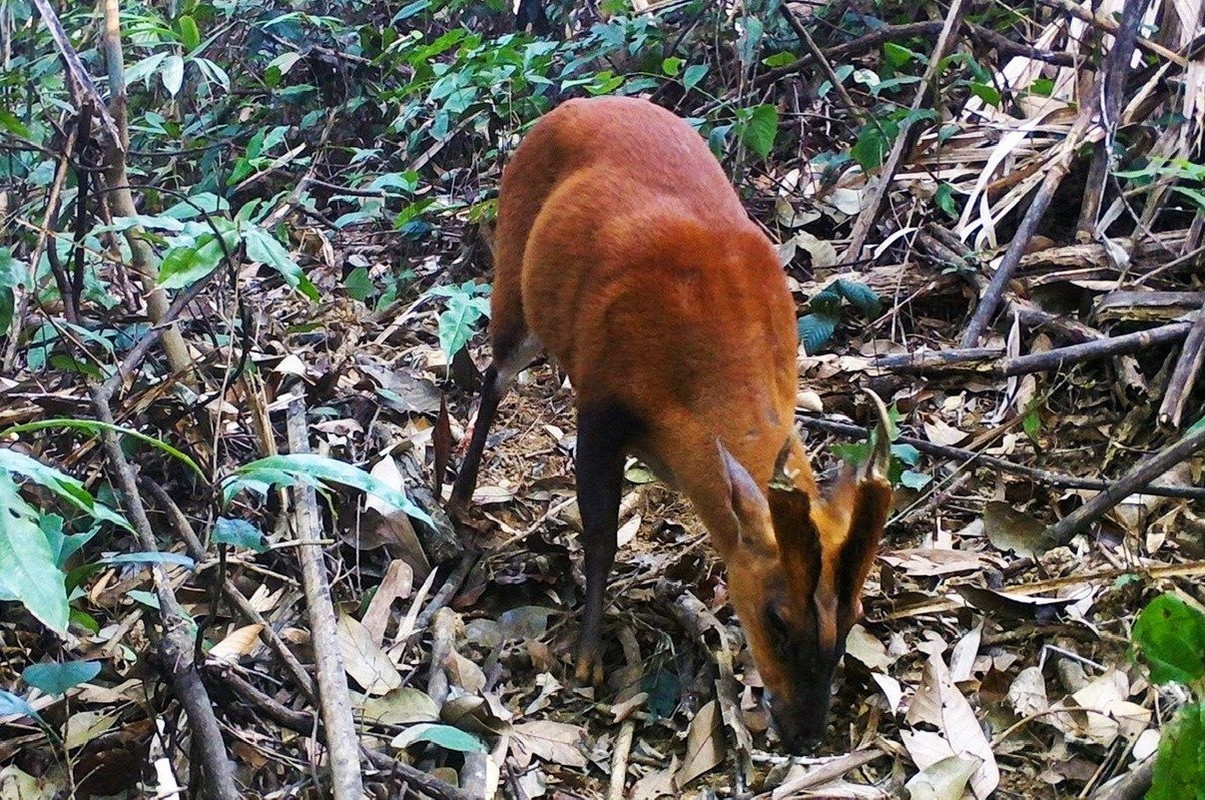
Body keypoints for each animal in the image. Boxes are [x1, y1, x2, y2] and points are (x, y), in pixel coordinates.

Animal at [453, 96, 896, 751]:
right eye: (776, 618)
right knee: (493, 376)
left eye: (855, 617)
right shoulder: (601, 405)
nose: (805, 736)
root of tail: (572, 104)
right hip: (514, 276)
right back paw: (458, 498)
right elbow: (601, 537)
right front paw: (587, 659)